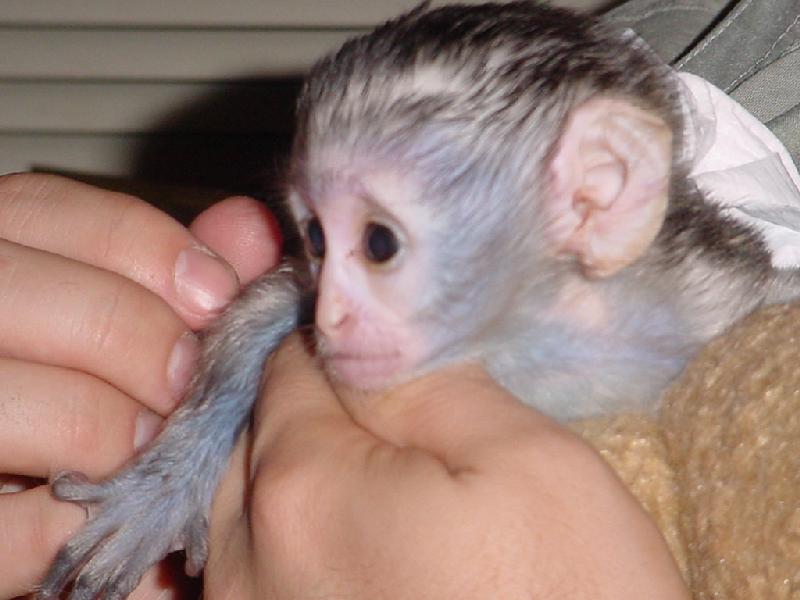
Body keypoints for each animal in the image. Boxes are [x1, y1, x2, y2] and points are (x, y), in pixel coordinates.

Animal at [38, 2, 800, 598]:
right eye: (315, 237)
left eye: (378, 244)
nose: (331, 319)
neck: (533, 336)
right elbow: (264, 312)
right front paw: (166, 486)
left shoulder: (703, 300)